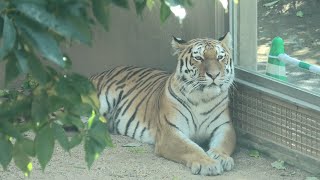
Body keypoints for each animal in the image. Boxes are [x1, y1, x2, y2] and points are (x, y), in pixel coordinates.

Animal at [89, 32, 235, 176]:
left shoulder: (225, 126)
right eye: (198, 58)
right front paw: (208, 164)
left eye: (220, 57)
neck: (202, 99)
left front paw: (221, 157)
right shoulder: (170, 132)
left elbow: (224, 143)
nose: (214, 75)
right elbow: (192, 148)